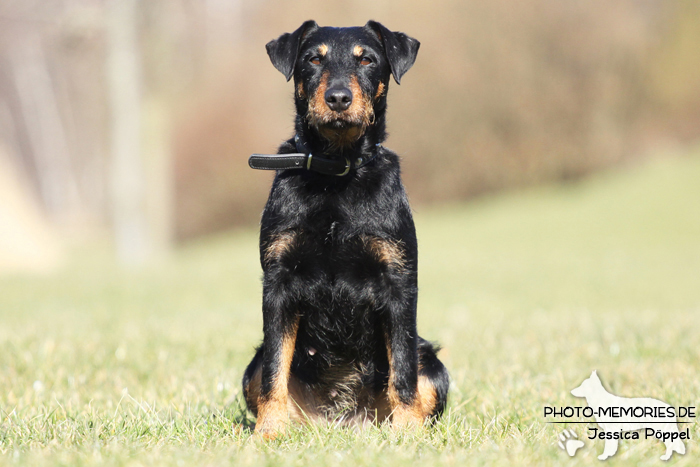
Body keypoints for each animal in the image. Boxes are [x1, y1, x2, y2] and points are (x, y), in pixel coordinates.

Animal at [242, 20, 448, 440]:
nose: (338, 98)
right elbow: (274, 370)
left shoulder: (398, 281)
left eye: (366, 59)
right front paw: (269, 432)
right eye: (313, 59)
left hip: (435, 365)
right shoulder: (278, 282)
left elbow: (403, 370)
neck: (336, 173)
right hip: (250, 366)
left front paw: (408, 432)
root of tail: (345, 418)